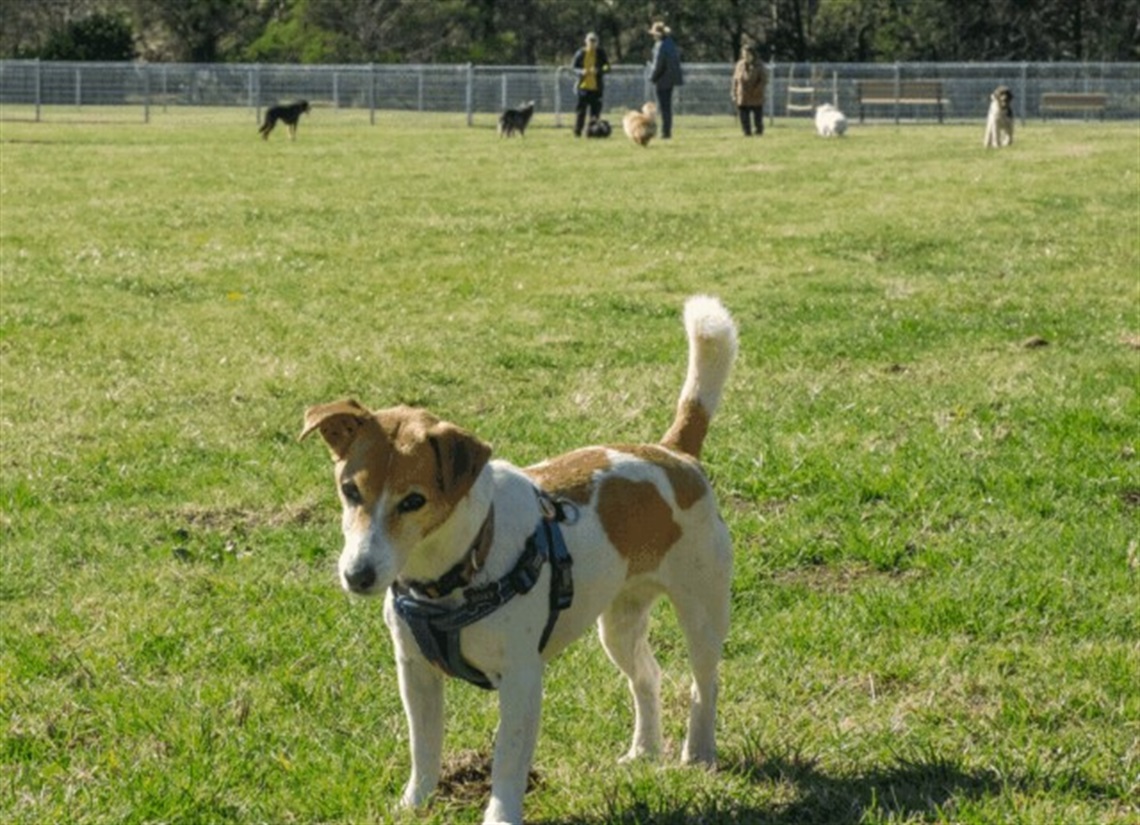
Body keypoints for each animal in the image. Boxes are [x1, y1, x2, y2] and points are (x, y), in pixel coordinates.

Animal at [300, 296, 738, 825]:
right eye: (350, 490)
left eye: (413, 501)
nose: (357, 575)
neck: (461, 565)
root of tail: (672, 452)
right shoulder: (415, 671)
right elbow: (424, 749)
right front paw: (413, 804)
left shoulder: (522, 680)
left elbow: (507, 764)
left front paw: (499, 815)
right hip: (618, 625)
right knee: (648, 677)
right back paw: (644, 751)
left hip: (702, 611)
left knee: (704, 684)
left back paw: (699, 752)